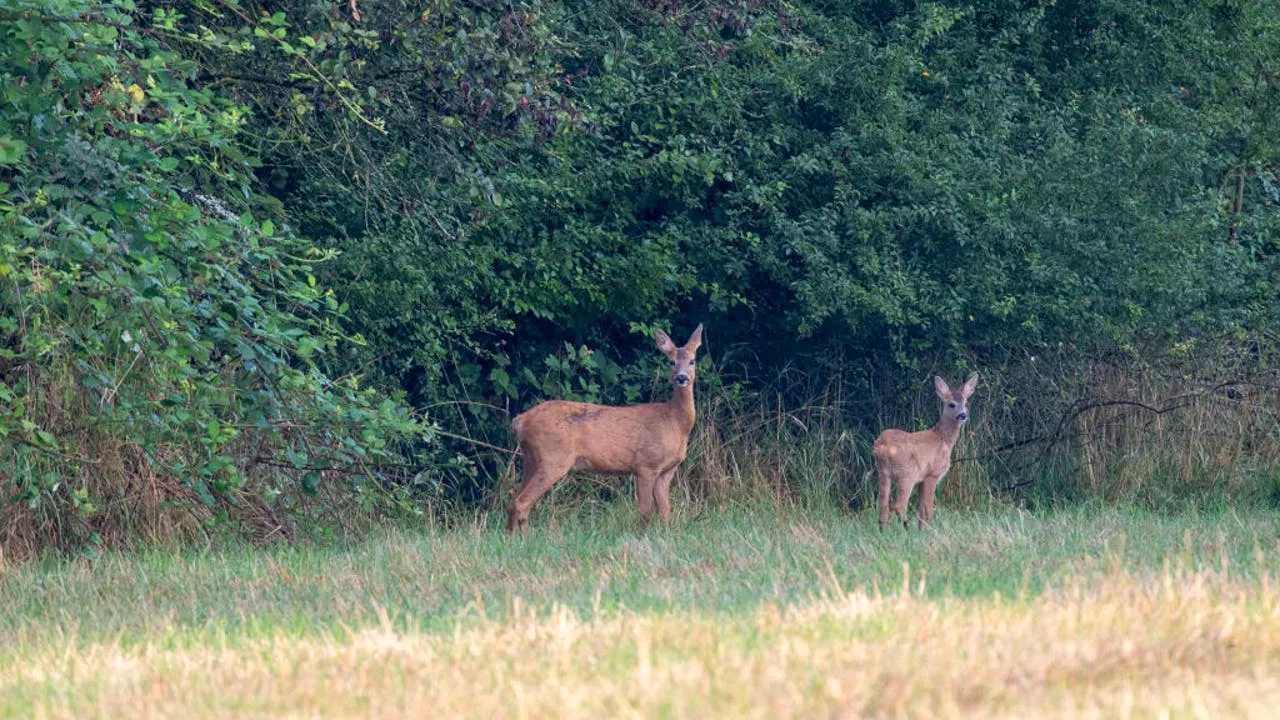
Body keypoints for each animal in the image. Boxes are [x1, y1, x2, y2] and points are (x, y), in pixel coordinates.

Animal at [504, 322, 706, 530]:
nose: (681, 378)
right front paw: (642, 534)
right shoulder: (645, 464)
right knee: (520, 502)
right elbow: (645, 512)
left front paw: (665, 533)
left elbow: (665, 512)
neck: (674, 422)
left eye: (692, 361)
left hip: (530, 459)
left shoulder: (666, 470)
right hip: (553, 458)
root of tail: (520, 420)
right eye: (671, 362)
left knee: (517, 502)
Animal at [870, 371, 977, 530]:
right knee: (898, 505)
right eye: (951, 404)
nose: (963, 415)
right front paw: (931, 529)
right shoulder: (932, 473)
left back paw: (884, 530)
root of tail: (881, 446)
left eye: (965, 403)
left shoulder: (922, 479)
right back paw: (907, 527)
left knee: (882, 505)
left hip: (883, 473)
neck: (943, 439)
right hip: (908, 472)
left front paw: (923, 530)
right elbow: (928, 507)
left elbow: (921, 508)